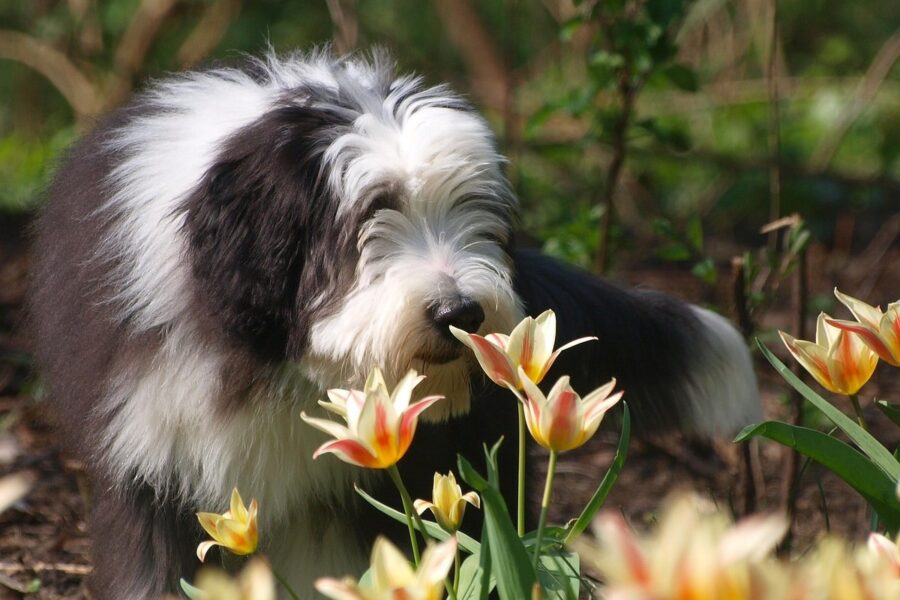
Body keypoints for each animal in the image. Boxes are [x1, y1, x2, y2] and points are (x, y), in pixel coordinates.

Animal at [29, 49, 760, 596]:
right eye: (370, 215)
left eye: (472, 210)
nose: (461, 311)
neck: (279, 366)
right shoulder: (155, 467)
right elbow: (154, 568)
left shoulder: (377, 481)